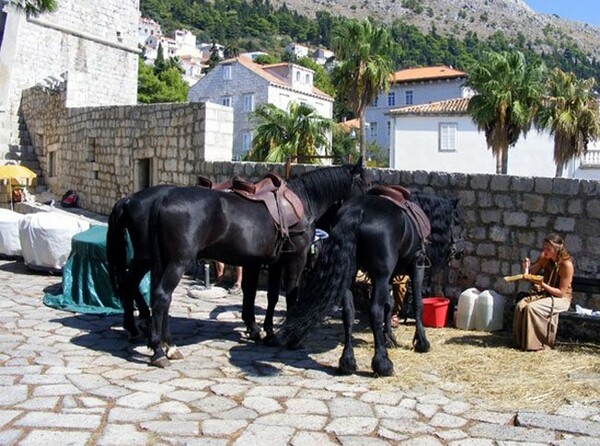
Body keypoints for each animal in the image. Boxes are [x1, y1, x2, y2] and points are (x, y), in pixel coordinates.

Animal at [146, 160, 370, 366]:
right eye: (365, 184)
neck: (305, 200)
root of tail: (163, 199)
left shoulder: (275, 261)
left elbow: (270, 296)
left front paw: (267, 332)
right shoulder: (296, 257)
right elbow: (291, 295)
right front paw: (293, 337)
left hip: (164, 262)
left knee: (162, 298)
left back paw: (167, 345)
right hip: (178, 262)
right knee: (162, 296)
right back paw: (160, 349)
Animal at [282, 188, 464, 376]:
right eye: (457, 222)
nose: (460, 251)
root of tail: (358, 211)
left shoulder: (390, 276)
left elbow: (390, 304)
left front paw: (389, 338)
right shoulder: (416, 266)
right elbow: (417, 304)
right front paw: (421, 342)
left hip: (349, 275)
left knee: (348, 312)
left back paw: (347, 362)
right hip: (381, 275)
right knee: (375, 311)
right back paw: (382, 363)